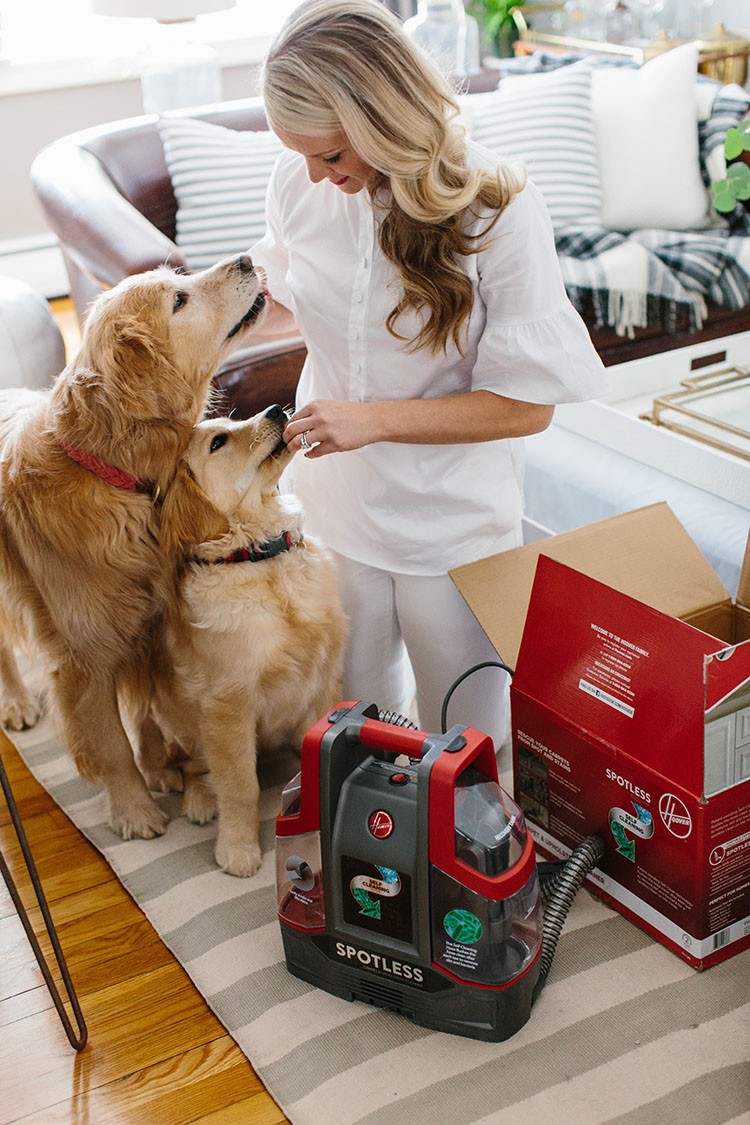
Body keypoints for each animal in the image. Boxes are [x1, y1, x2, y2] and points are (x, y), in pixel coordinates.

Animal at [0, 253, 268, 837]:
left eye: (180, 280)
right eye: (179, 300)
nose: (245, 258)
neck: (115, 475)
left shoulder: (149, 622)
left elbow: (145, 709)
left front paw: (163, 768)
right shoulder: (83, 652)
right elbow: (110, 743)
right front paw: (135, 809)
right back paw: (15, 701)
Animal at [157, 407, 348, 877]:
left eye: (232, 419)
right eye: (218, 442)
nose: (277, 411)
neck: (264, 558)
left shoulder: (325, 679)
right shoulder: (228, 703)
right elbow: (240, 784)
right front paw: (239, 848)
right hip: (176, 722)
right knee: (190, 767)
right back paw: (199, 799)